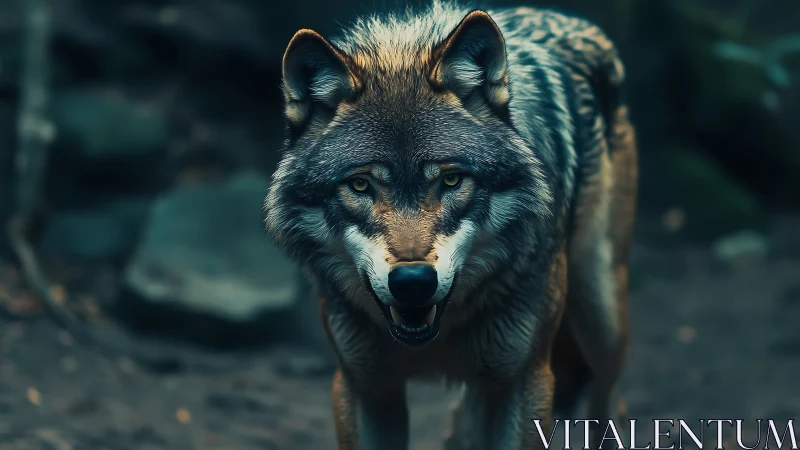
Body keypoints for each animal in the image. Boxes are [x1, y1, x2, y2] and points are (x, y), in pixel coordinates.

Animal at [263, 1, 637, 449]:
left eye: (452, 180)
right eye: (360, 184)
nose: (412, 282)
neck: (437, 338)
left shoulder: (524, 381)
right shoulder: (364, 386)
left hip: (601, 319)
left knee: (606, 397)